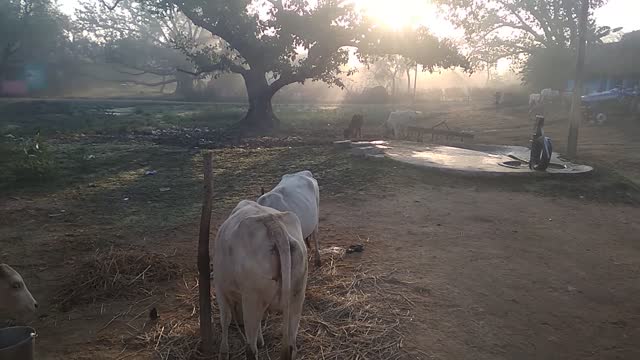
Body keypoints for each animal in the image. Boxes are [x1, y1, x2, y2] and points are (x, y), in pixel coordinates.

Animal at [212, 200, 308, 360]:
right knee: (291, 346)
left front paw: (223, 351)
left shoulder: (220, 288)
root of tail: (273, 223)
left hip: (251, 299)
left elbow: (225, 318)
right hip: (297, 296)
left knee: (251, 350)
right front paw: (260, 340)